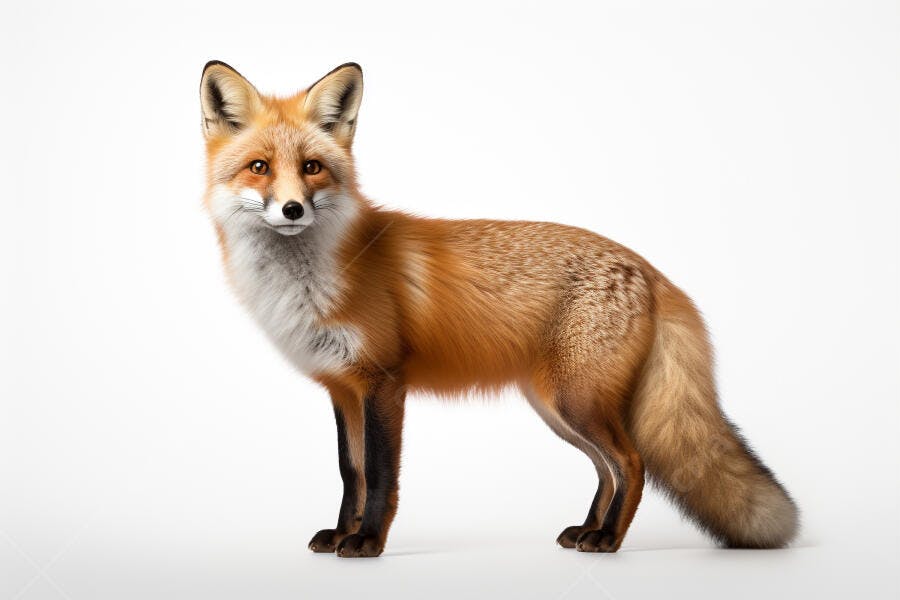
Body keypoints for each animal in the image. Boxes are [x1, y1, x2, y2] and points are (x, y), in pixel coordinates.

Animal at [199, 61, 798, 558]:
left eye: (312, 167)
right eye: (259, 167)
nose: (292, 209)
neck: (316, 277)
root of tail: (652, 271)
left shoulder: (384, 382)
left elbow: (381, 474)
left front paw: (367, 541)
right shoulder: (343, 389)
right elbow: (352, 473)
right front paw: (343, 533)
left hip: (576, 400)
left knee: (633, 463)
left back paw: (607, 539)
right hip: (558, 406)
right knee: (608, 470)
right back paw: (587, 530)